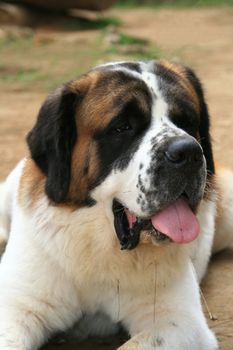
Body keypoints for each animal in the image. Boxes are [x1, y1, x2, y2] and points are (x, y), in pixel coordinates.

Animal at [0, 60, 233, 350]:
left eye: (187, 122)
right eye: (122, 127)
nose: (188, 152)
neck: (97, 244)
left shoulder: (180, 324)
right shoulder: (17, 307)